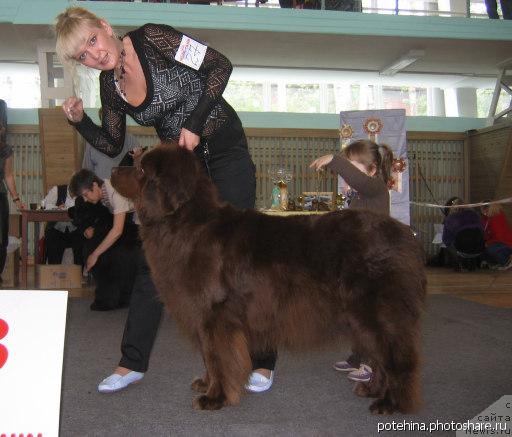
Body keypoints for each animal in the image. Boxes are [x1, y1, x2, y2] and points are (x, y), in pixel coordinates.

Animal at [112, 143, 428, 412]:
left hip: (378, 315)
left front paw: (215, 397)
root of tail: (406, 236)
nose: (114, 170)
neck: (185, 223)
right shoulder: (205, 316)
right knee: (379, 357)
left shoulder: (215, 315)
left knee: (398, 359)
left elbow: (217, 356)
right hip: (360, 321)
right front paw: (206, 384)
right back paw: (373, 390)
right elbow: (209, 355)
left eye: (141, 169)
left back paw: (390, 403)